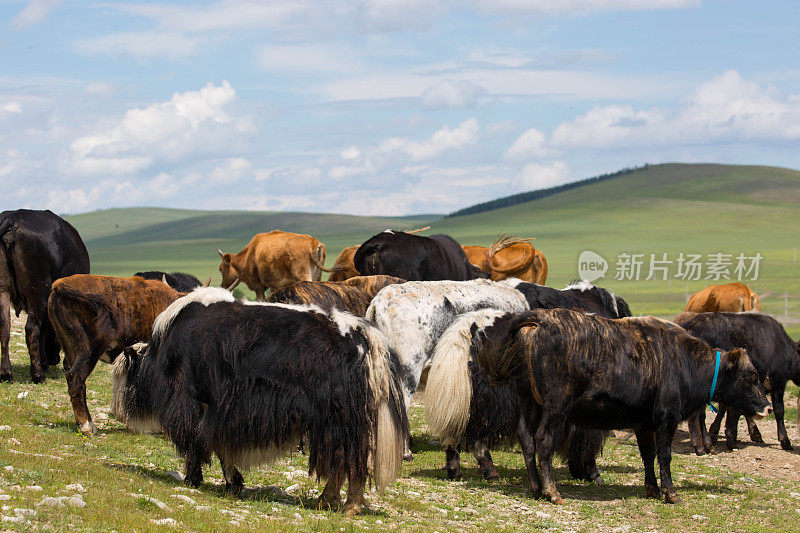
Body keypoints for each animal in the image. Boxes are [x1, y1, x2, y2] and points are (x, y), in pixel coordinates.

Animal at [0, 209, 90, 382]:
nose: (54, 359)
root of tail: (13, 218)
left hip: (4, 291)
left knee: (4, 327)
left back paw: (6, 373)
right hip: (37, 292)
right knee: (31, 328)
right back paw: (37, 375)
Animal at [111, 286, 406, 516]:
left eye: (124, 374)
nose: (117, 413)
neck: (160, 355)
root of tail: (365, 338)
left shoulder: (194, 402)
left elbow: (199, 442)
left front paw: (193, 479)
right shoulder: (221, 410)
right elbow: (218, 445)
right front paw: (233, 484)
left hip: (340, 420)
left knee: (348, 460)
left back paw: (345, 505)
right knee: (347, 460)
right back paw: (329, 501)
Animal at [476, 308, 768, 502]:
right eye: (750, 376)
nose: (766, 407)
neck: (683, 361)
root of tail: (541, 320)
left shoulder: (643, 423)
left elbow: (648, 455)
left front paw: (651, 488)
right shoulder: (666, 419)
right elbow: (665, 455)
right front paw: (670, 493)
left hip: (530, 403)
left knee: (527, 440)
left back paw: (536, 487)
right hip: (555, 406)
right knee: (543, 440)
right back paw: (552, 491)